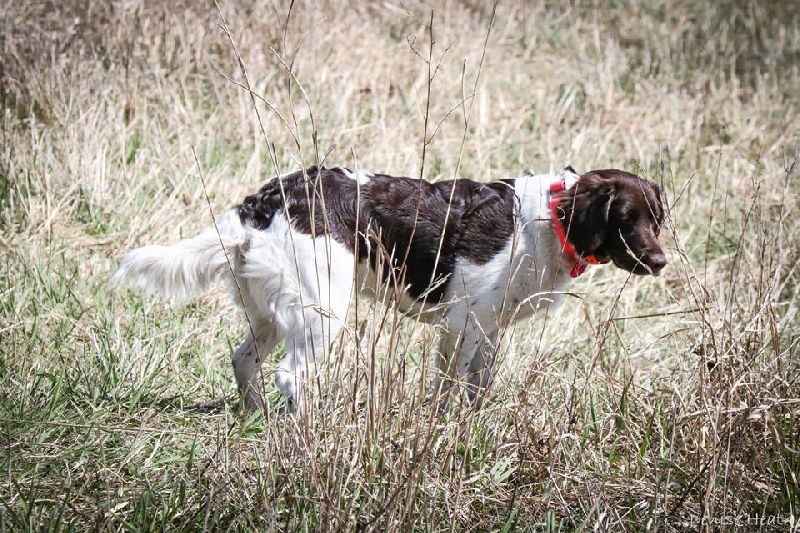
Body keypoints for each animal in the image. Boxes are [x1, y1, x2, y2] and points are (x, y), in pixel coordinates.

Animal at [112, 165, 666, 413]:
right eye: (625, 219)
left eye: (656, 219)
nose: (661, 261)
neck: (545, 220)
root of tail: (266, 199)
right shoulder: (464, 325)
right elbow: (450, 387)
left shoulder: (486, 329)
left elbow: (475, 389)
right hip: (321, 310)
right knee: (291, 376)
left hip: (272, 311)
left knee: (243, 360)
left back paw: (256, 417)